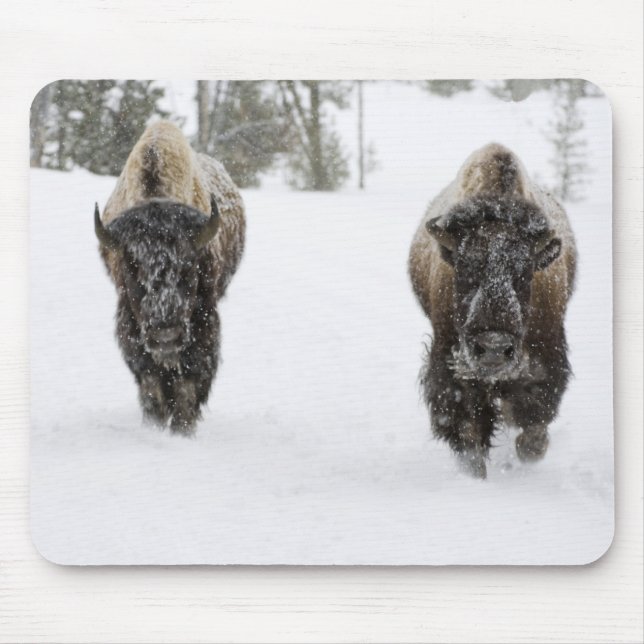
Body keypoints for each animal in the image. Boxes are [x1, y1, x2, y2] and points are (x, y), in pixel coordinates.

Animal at [95, 121, 245, 434]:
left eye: (189, 267)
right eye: (132, 268)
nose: (165, 335)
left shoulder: (203, 320)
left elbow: (189, 381)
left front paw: (183, 430)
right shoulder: (131, 322)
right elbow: (150, 381)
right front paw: (154, 424)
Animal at [408, 143, 576, 478]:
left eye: (524, 273)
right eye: (464, 268)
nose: (494, 348)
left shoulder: (545, 359)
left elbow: (533, 423)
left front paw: (529, 452)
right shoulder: (451, 367)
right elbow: (469, 431)